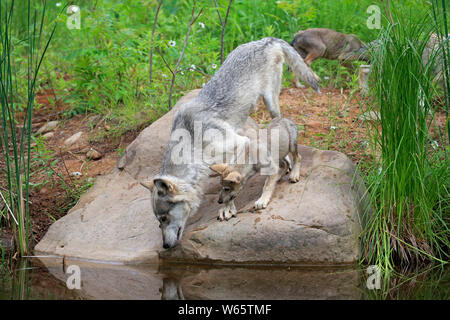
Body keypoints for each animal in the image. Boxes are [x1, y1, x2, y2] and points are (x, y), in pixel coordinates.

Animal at [141, 36, 320, 249]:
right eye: (158, 221)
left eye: (164, 218)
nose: (165, 247)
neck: (193, 143)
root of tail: (266, 40)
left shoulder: (240, 142)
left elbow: (232, 181)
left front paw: (226, 209)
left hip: (271, 102)